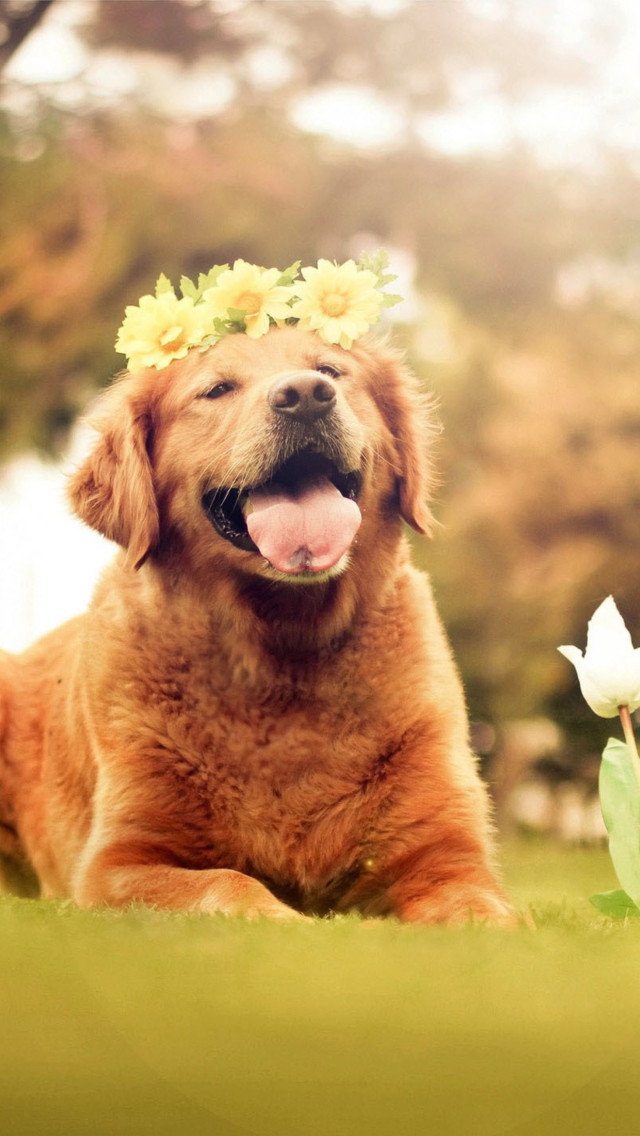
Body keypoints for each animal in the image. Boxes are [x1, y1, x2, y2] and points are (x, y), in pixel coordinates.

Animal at [0, 327, 513, 922]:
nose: (306, 396)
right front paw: (290, 923)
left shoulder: (446, 853)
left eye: (330, 370)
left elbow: (479, 908)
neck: (280, 651)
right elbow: (226, 882)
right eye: (218, 388)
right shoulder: (117, 863)